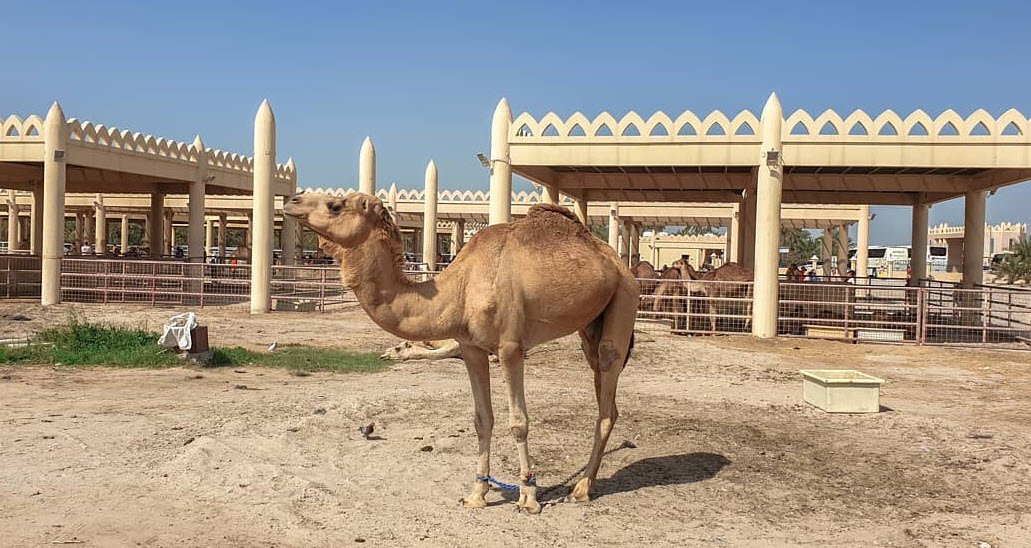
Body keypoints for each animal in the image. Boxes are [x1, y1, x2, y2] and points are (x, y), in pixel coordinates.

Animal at [284, 192, 638, 513]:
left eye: (335, 205)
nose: (292, 200)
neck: (458, 290)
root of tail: (618, 262)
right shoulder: (471, 348)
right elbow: (482, 419)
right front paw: (476, 495)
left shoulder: (510, 348)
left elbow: (518, 422)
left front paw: (528, 496)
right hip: (590, 326)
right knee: (604, 390)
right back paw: (584, 482)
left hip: (625, 297)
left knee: (607, 384)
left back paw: (582, 489)